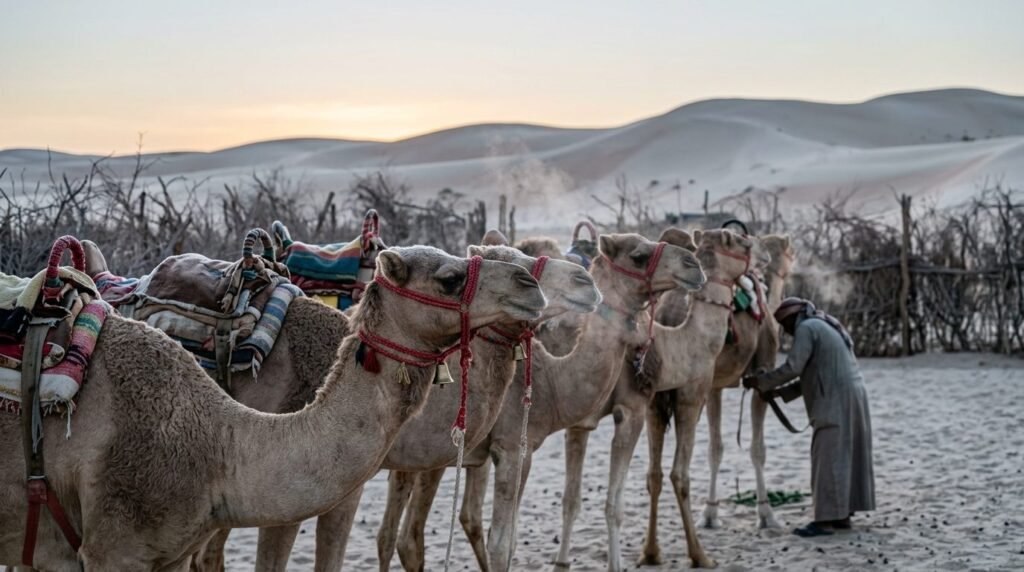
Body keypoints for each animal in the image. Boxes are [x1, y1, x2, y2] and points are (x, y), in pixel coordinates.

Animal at [387, 233, 708, 572]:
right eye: (638, 256)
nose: (584, 280)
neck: (551, 379)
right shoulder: (513, 448)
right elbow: (503, 543)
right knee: (409, 539)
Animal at [554, 228, 769, 571]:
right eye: (740, 241)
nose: (692, 264)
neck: (680, 344)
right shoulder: (676, 401)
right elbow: (666, 482)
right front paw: (699, 554)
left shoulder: (612, 415)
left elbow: (575, 499)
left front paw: (650, 552)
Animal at [638, 234, 795, 567]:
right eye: (744, 242)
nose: (763, 255)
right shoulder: (760, 377)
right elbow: (757, 449)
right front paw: (766, 514)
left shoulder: (713, 388)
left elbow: (715, 449)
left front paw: (710, 514)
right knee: (677, 472)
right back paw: (696, 554)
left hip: (654, 402)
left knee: (655, 472)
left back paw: (651, 551)